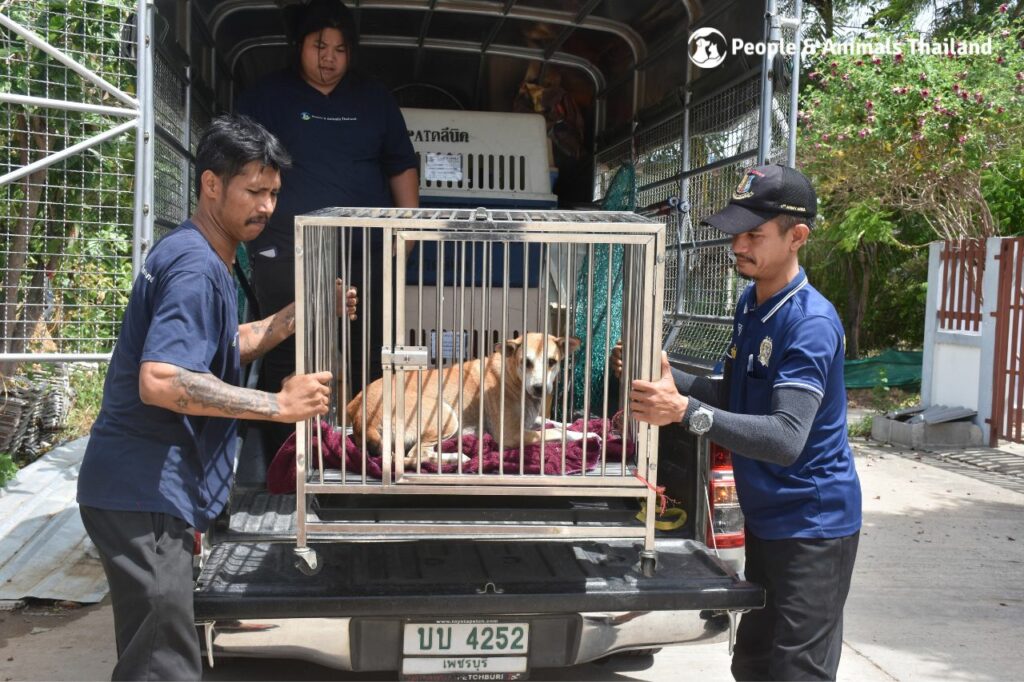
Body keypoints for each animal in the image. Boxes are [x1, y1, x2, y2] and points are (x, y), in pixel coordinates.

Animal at [346, 331, 581, 464]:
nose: (539, 388)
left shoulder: (528, 421)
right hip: (446, 415)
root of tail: (361, 418)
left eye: (552, 362)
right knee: (416, 454)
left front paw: (574, 425)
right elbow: (557, 432)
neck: (512, 374)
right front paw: (583, 436)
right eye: (526, 362)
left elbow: (551, 422)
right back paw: (456, 458)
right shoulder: (511, 435)